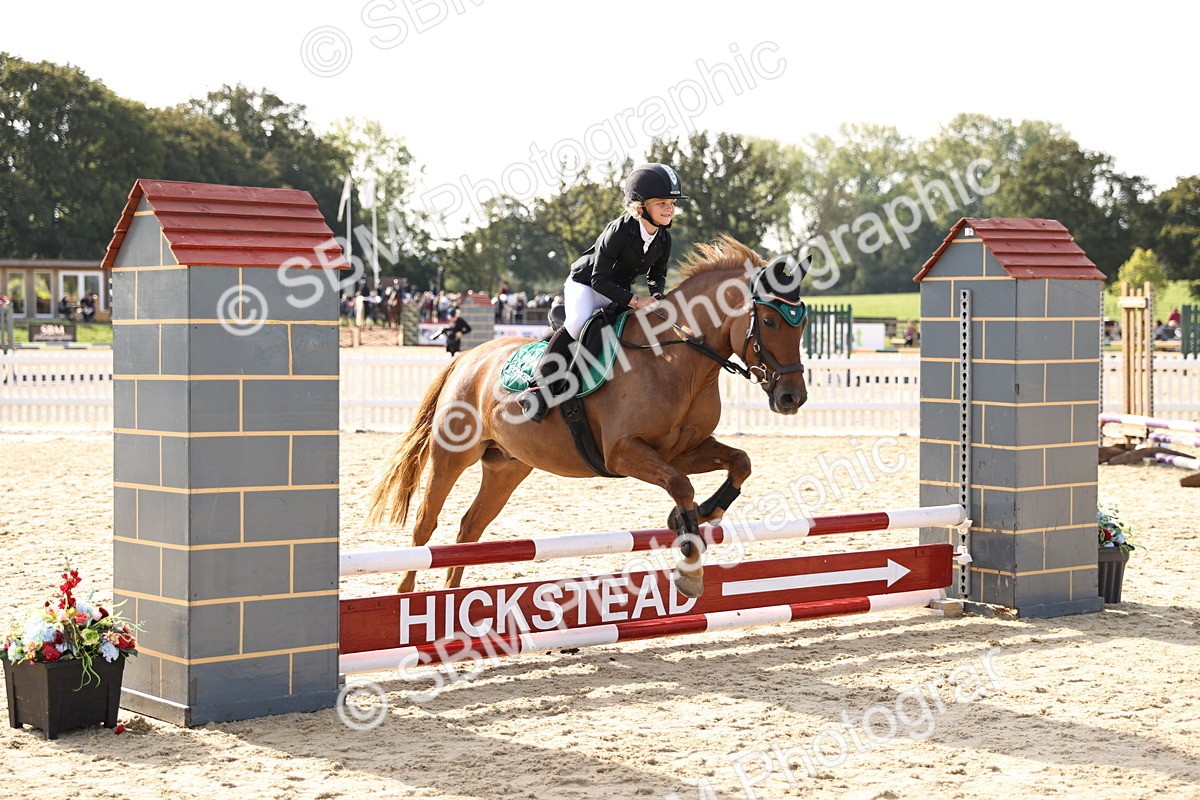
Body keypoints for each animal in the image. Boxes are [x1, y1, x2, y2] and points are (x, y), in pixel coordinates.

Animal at [367, 236, 810, 598]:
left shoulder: (682, 450)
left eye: (802, 321)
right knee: (426, 523)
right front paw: (689, 565)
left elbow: (740, 463)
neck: (676, 361)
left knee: (470, 526)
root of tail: (467, 358)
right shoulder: (623, 453)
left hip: (507, 465)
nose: (792, 397)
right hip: (453, 455)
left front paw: (704, 513)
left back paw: (453, 600)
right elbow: (680, 485)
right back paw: (406, 594)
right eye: (768, 320)